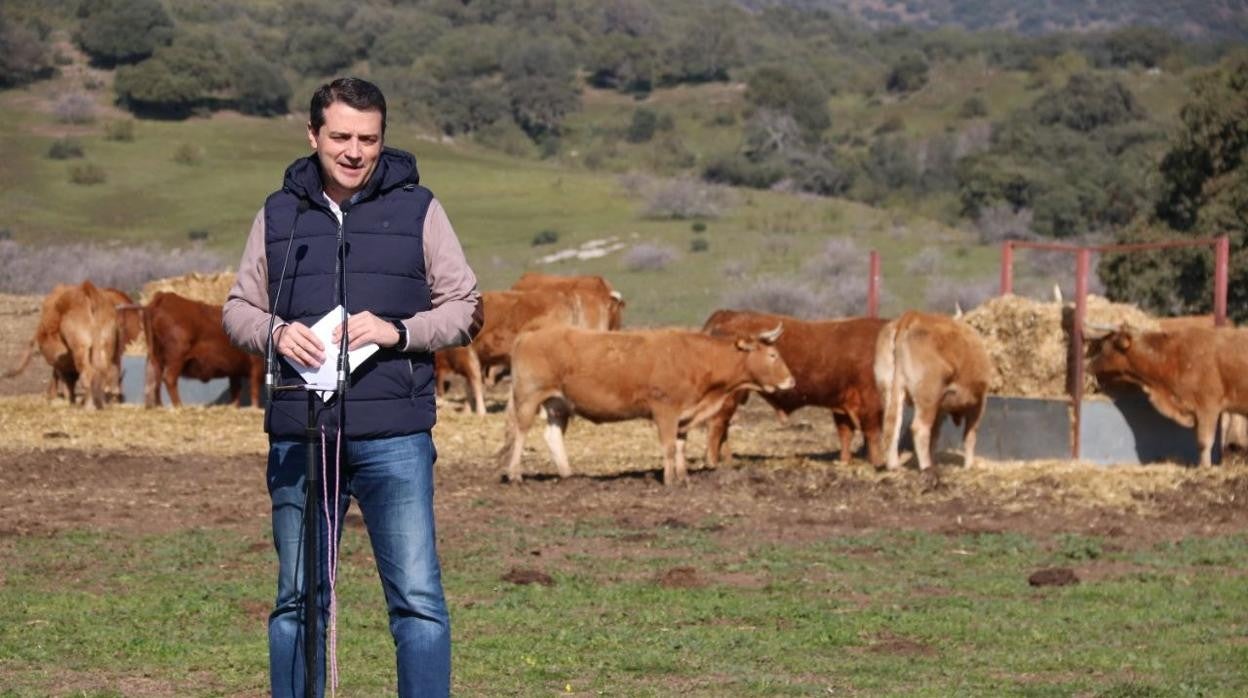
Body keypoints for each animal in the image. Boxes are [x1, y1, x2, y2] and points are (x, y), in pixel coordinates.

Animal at [496, 324, 788, 484]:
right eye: (773, 354)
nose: (791, 380)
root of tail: (529, 335)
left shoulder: (685, 413)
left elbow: (680, 445)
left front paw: (683, 476)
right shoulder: (666, 409)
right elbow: (668, 446)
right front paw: (669, 480)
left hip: (558, 403)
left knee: (552, 435)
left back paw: (568, 473)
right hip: (529, 397)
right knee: (521, 432)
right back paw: (515, 474)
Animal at [703, 309, 888, 464]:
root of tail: (726, 314)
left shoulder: (842, 402)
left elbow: (846, 433)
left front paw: (845, 461)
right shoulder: (870, 402)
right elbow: (873, 434)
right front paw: (878, 463)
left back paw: (728, 460)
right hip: (730, 396)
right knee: (718, 423)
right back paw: (717, 462)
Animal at [878, 312, 993, 471]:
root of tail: (912, 316)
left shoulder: (941, 407)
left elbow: (935, 433)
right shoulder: (979, 402)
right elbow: (970, 434)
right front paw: (969, 466)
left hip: (890, 389)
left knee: (893, 424)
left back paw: (895, 466)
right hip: (928, 395)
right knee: (920, 429)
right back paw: (926, 467)